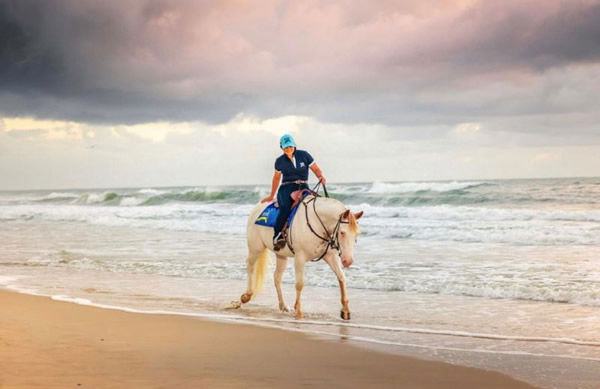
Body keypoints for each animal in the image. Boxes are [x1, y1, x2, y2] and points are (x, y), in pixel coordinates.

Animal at [232, 192, 364, 320]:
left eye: (357, 234)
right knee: (250, 266)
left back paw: (283, 306)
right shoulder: (300, 257)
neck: (317, 223)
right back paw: (246, 296)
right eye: (342, 233)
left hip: (281, 255)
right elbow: (300, 284)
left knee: (277, 277)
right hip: (256, 248)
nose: (348, 261)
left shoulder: (330, 256)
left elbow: (341, 277)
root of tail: (257, 207)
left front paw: (345, 311)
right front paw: (299, 312)